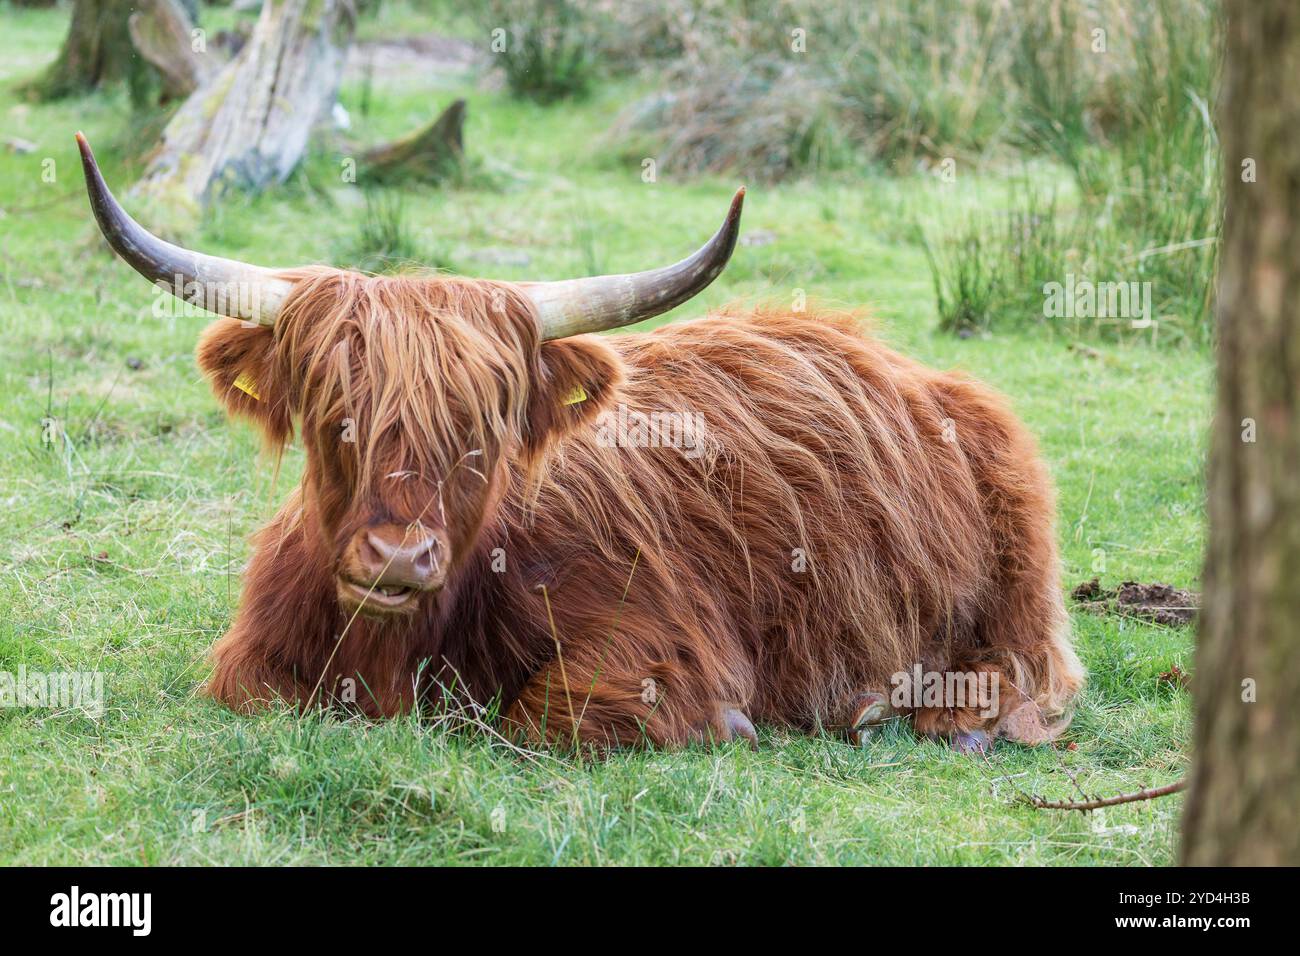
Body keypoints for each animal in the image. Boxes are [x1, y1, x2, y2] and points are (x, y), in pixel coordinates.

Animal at [77, 132, 1083, 753]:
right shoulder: (252, 662)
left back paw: (916, 710)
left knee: (1032, 666)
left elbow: (541, 713)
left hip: (1014, 578)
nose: (397, 556)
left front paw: (730, 726)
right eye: (337, 413)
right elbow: (256, 690)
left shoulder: (660, 641)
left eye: (481, 427)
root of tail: (906, 365)